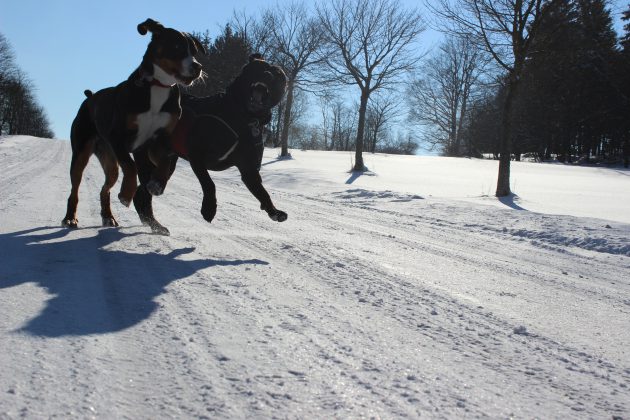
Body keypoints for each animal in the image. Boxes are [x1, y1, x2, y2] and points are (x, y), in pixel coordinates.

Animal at [61, 18, 205, 230]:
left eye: (194, 51)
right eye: (177, 46)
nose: (197, 67)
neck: (157, 87)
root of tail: (90, 98)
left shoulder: (158, 140)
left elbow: (165, 160)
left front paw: (156, 184)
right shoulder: (118, 137)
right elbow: (130, 166)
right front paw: (126, 194)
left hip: (110, 161)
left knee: (105, 188)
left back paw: (109, 216)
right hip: (81, 152)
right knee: (74, 189)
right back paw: (70, 217)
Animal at [135, 54, 290, 235]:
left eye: (279, 75)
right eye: (257, 67)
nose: (267, 74)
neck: (244, 117)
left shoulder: (249, 169)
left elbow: (263, 192)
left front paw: (274, 211)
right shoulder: (196, 154)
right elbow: (209, 184)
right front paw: (209, 209)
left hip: (167, 160)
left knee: (143, 193)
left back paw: (155, 222)